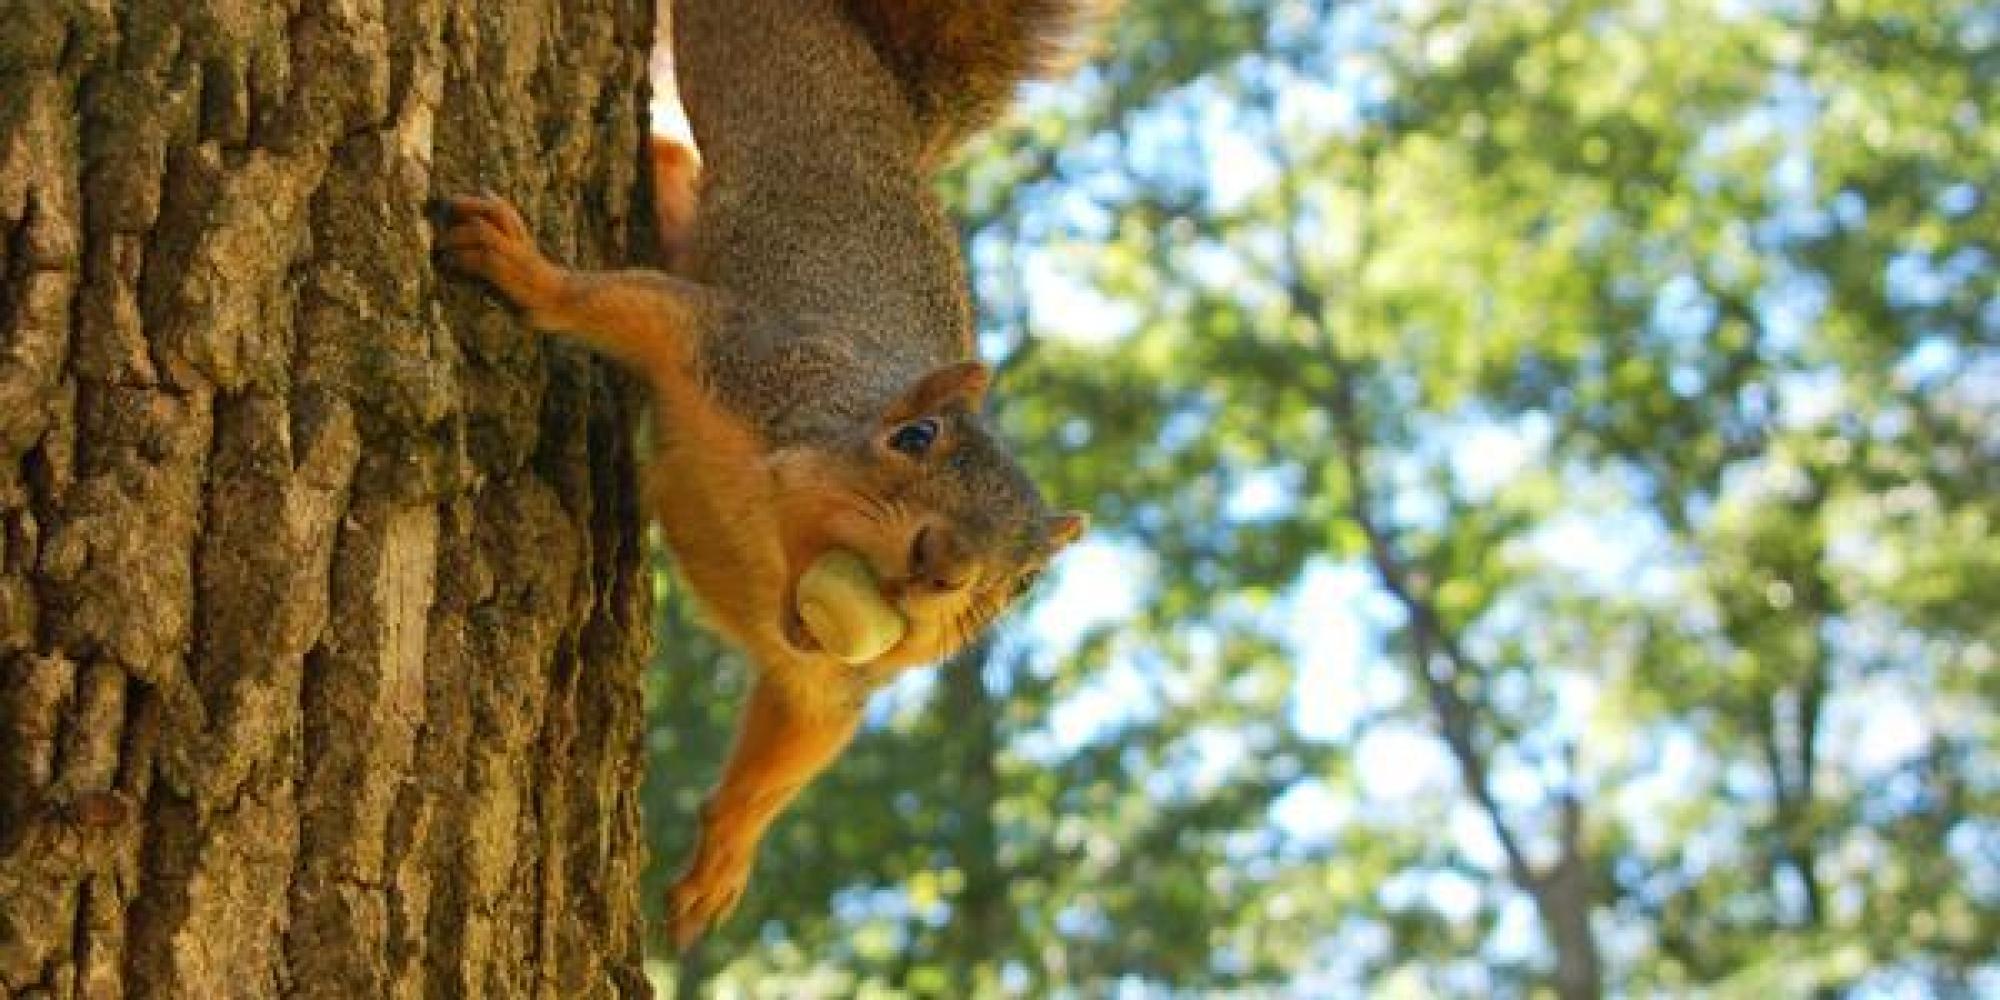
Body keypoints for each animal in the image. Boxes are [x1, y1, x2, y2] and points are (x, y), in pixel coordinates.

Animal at [434, 0, 1112, 944]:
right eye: (915, 437)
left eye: (1024, 583)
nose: (941, 565)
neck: (761, 539)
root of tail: (892, 99)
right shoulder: (739, 357)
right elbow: (616, 304)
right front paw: (526, 271)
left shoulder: (828, 680)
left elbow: (790, 750)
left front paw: (720, 861)